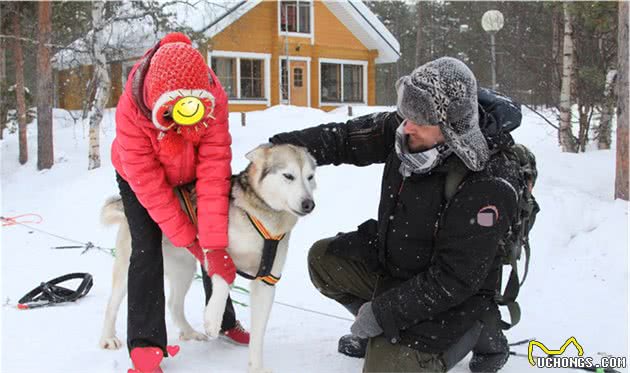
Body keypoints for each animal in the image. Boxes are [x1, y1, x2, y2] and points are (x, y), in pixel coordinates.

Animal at [100, 144, 318, 372]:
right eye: (288, 176)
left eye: (310, 177)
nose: (308, 204)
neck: (261, 216)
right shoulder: (213, 247)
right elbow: (222, 275)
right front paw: (213, 319)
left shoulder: (266, 280)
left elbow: (258, 336)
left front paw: (256, 367)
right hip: (131, 265)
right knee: (113, 303)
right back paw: (109, 338)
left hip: (185, 270)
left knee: (174, 304)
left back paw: (189, 332)